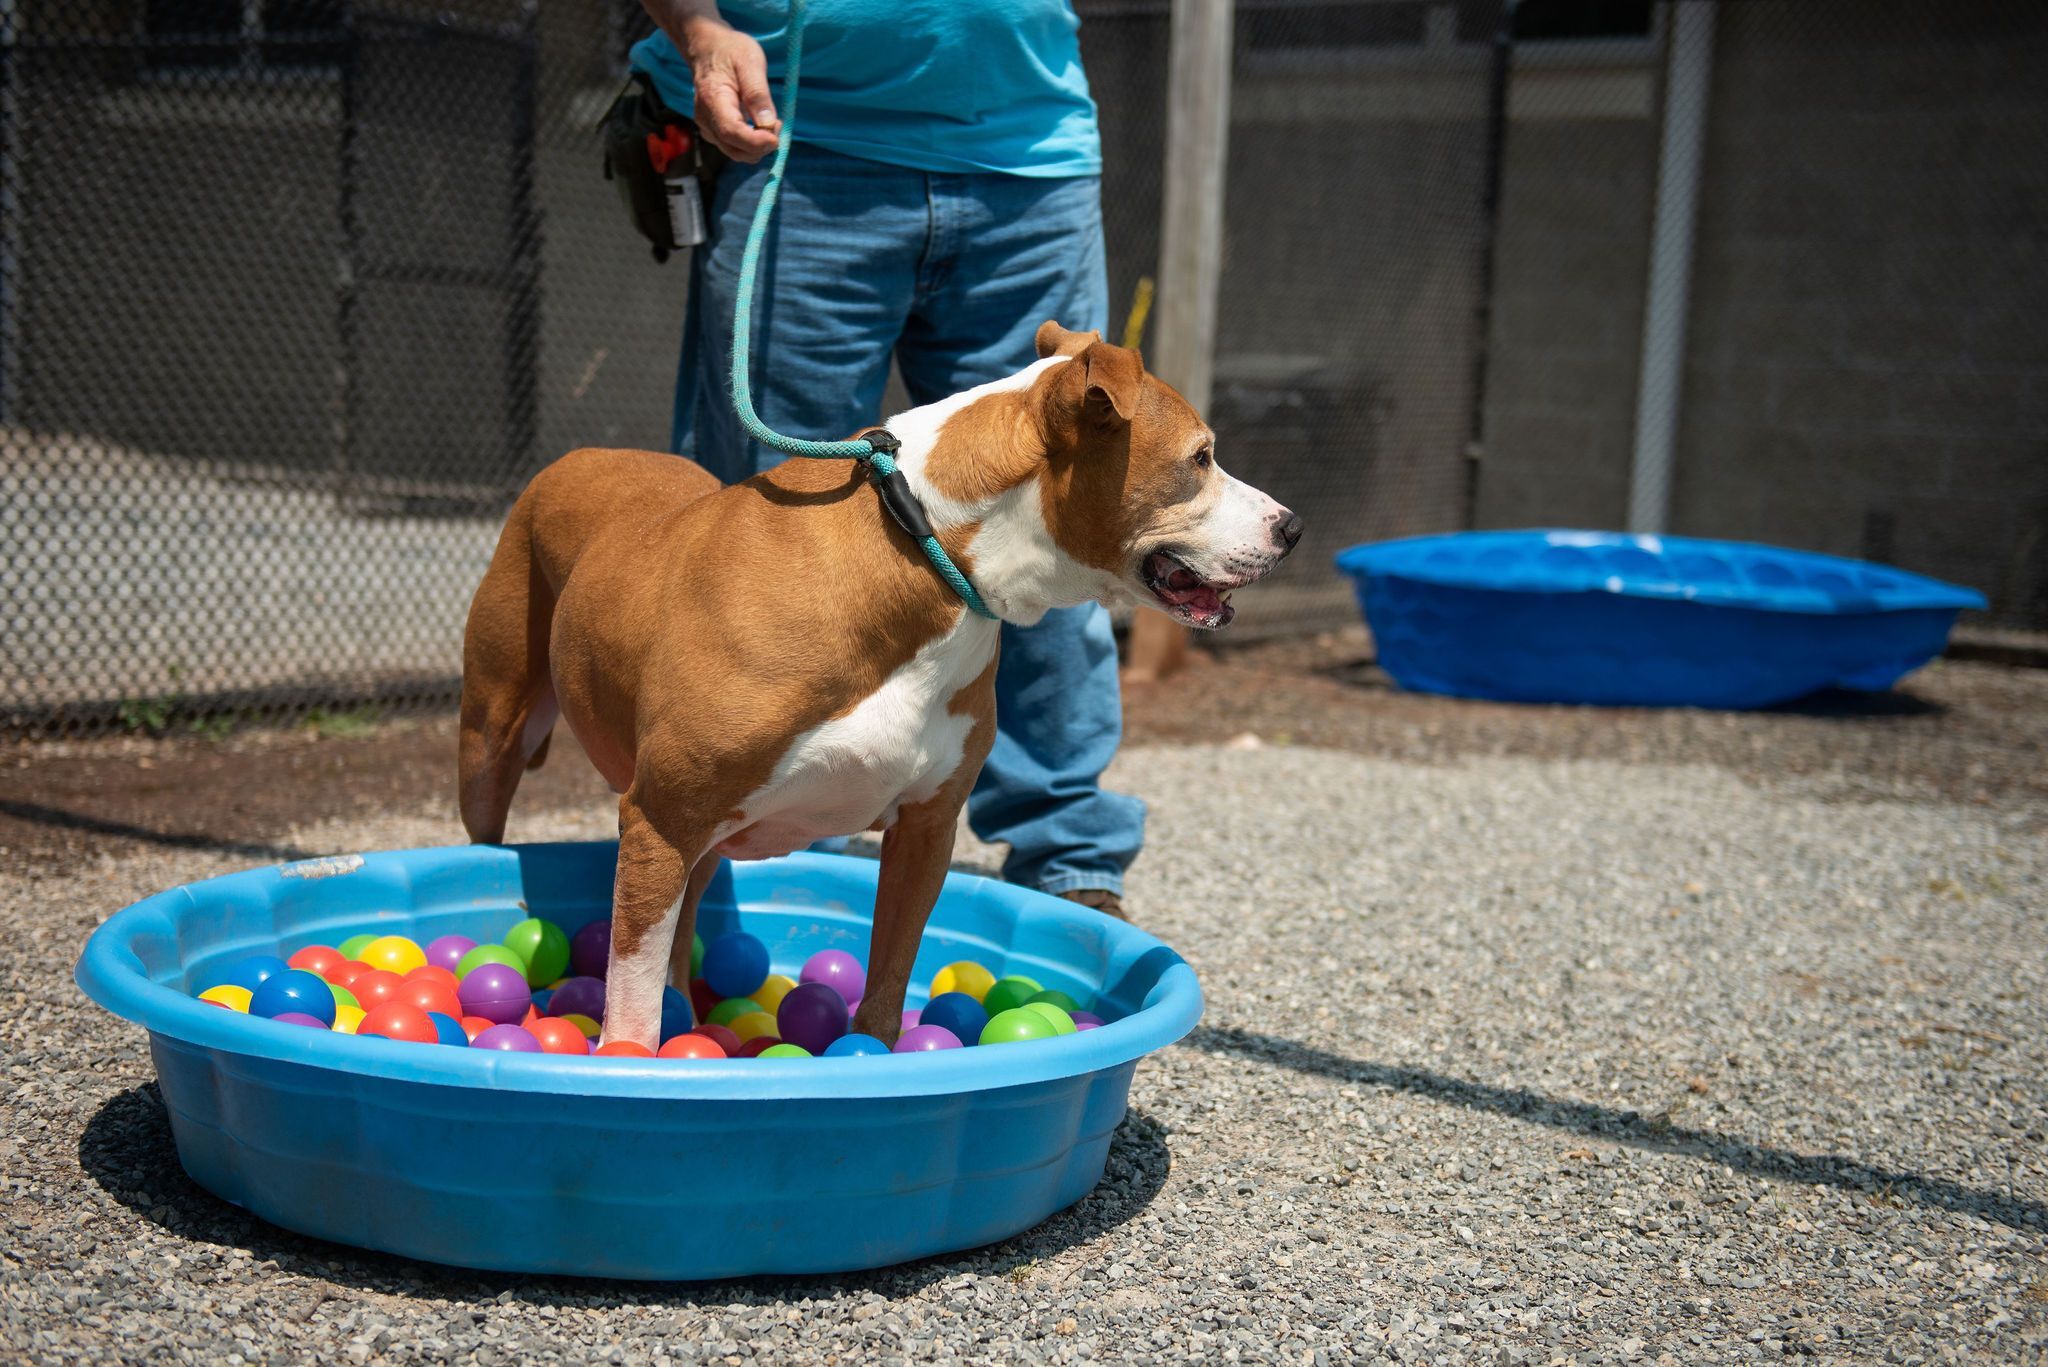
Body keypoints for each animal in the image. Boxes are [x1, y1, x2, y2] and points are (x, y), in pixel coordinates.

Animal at [460, 321, 1294, 1049]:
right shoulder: (663, 818)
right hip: (497, 737)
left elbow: (891, 972)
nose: (1292, 527)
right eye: (1200, 457)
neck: (927, 548)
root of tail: (580, 454)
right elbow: (630, 997)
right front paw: (631, 1062)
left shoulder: (926, 826)